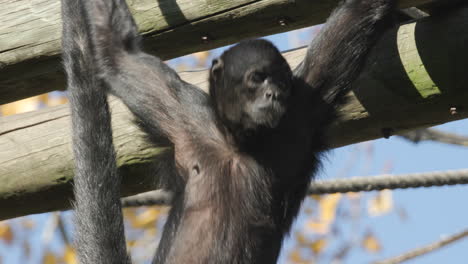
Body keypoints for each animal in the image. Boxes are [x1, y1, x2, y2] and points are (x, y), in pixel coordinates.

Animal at [61, 0, 398, 262]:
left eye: (281, 82)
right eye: (258, 77)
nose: (274, 94)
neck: (238, 142)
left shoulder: (304, 107)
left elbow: (360, 12)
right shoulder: (181, 110)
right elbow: (118, 53)